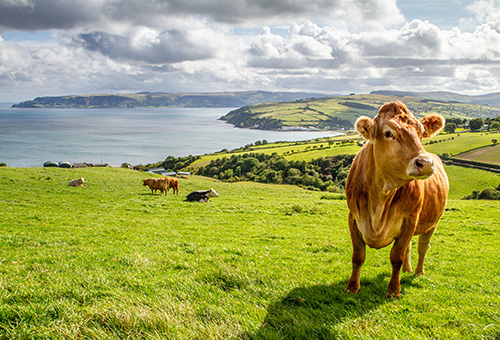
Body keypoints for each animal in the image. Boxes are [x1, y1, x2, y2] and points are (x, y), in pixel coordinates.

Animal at [344, 101, 450, 298]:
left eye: (421, 132)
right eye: (388, 133)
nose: (425, 163)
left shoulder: (410, 219)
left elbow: (396, 257)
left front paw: (394, 290)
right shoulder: (353, 218)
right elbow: (358, 256)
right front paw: (352, 287)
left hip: (432, 223)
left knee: (422, 246)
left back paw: (418, 272)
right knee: (410, 246)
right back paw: (408, 270)